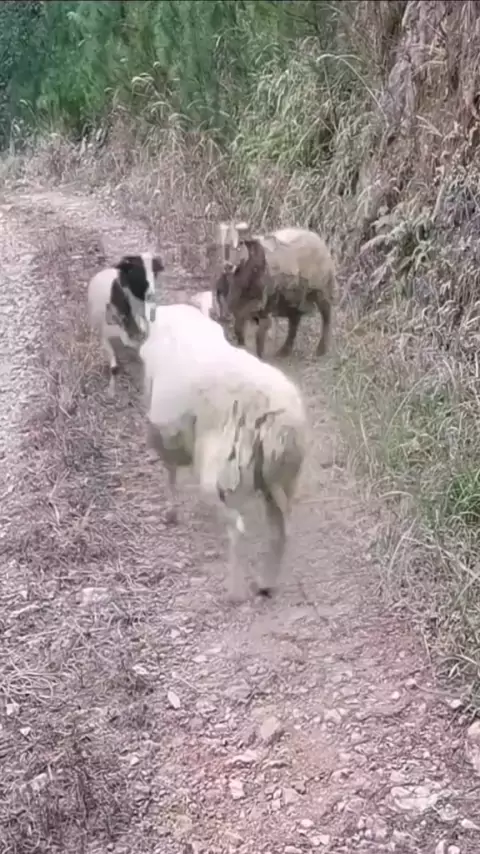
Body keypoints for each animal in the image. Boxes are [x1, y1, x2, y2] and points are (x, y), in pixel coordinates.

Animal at [87, 252, 164, 396]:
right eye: (136, 272)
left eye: (155, 272)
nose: (151, 294)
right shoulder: (105, 337)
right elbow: (114, 367)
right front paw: (111, 391)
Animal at [140, 303, 307, 601]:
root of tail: (276, 421)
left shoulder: (164, 432)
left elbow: (169, 472)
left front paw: (170, 512)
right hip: (281, 479)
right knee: (281, 531)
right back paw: (265, 583)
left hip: (225, 468)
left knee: (238, 528)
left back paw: (234, 590)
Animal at [214, 222, 336, 359]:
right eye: (220, 244)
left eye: (241, 243)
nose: (228, 266)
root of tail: (317, 238)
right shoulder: (240, 310)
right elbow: (239, 331)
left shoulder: (264, 311)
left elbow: (259, 338)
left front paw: (259, 358)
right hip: (292, 301)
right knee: (294, 322)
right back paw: (284, 352)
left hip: (322, 292)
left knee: (327, 317)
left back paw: (321, 350)